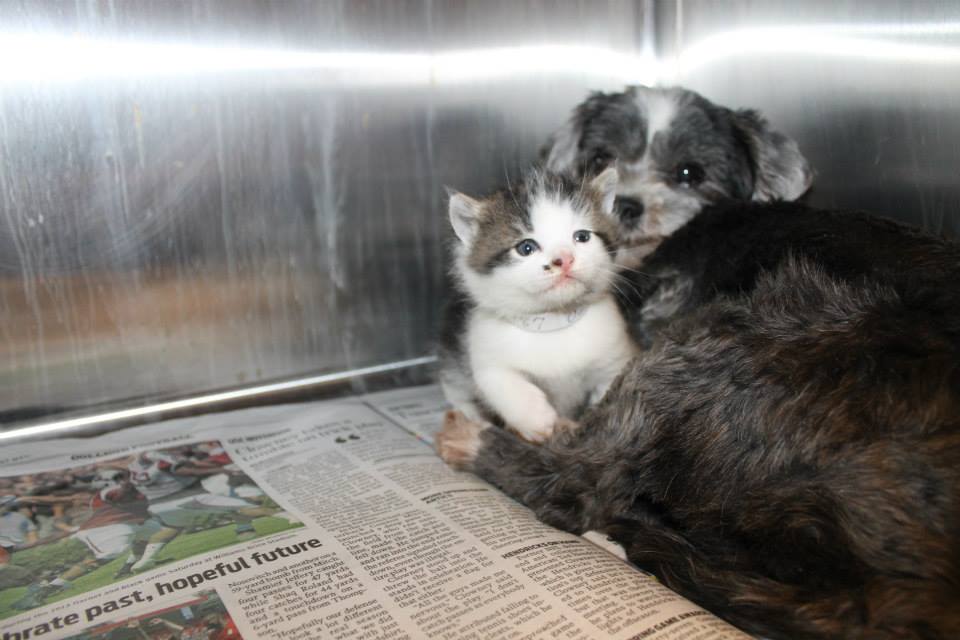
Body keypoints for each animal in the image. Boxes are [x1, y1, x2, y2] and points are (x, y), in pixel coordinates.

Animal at [440, 168, 636, 442]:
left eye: (582, 236)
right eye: (526, 247)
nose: (564, 259)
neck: (554, 320)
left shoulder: (615, 355)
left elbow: (611, 385)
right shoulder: (484, 349)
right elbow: (501, 381)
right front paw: (537, 419)